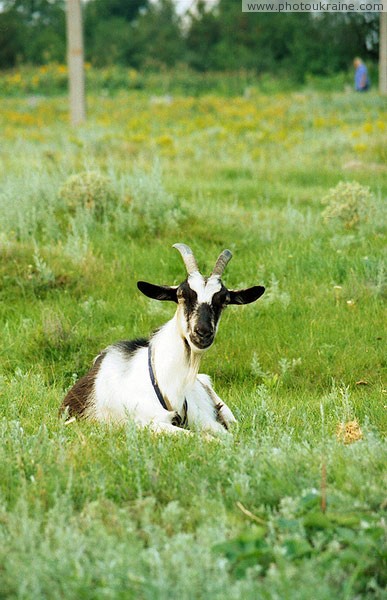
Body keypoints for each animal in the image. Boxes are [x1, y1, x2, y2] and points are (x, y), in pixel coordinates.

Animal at [61, 243, 266, 432]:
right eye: (181, 294)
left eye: (224, 300)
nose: (203, 332)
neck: (166, 383)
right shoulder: (148, 424)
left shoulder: (208, 422)